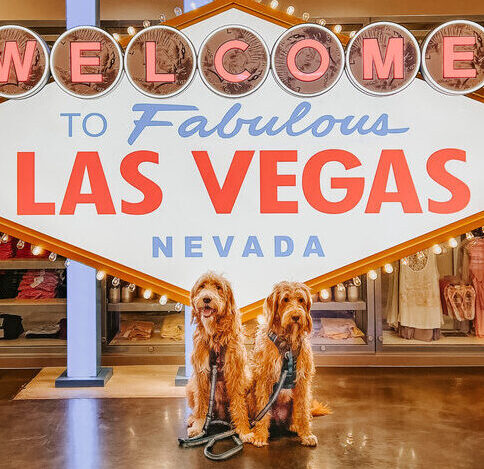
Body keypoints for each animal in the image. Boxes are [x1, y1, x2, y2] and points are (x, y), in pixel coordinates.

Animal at [186, 272, 253, 440]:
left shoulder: (236, 373)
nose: (206, 299)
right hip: (190, 386)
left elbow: (238, 404)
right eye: (202, 286)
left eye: (218, 287)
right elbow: (201, 402)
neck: (215, 335)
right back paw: (192, 419)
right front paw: (198, 425)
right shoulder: (201, 373)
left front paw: (243, 430)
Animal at [248, 282, 320, 446]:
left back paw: (295, 425)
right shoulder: (264, 379)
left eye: (301, 300)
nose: (296, 316)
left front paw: (306, 434)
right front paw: (260, 436)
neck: (288, 344)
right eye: (285, 299)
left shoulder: (302, 382)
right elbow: (263, 409)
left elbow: (303, 411)